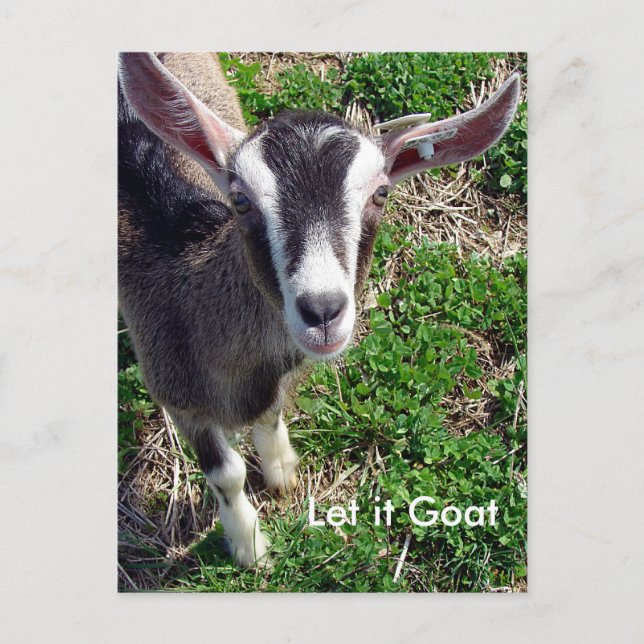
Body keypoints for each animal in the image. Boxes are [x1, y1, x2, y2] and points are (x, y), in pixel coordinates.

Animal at [118, 52, 520, 566]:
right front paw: (250, 546)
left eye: (381, 194)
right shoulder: (178, 397)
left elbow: (271, 416)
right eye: (240, 200)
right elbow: (226, 473)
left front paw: (281, 469)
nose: (323, 311)